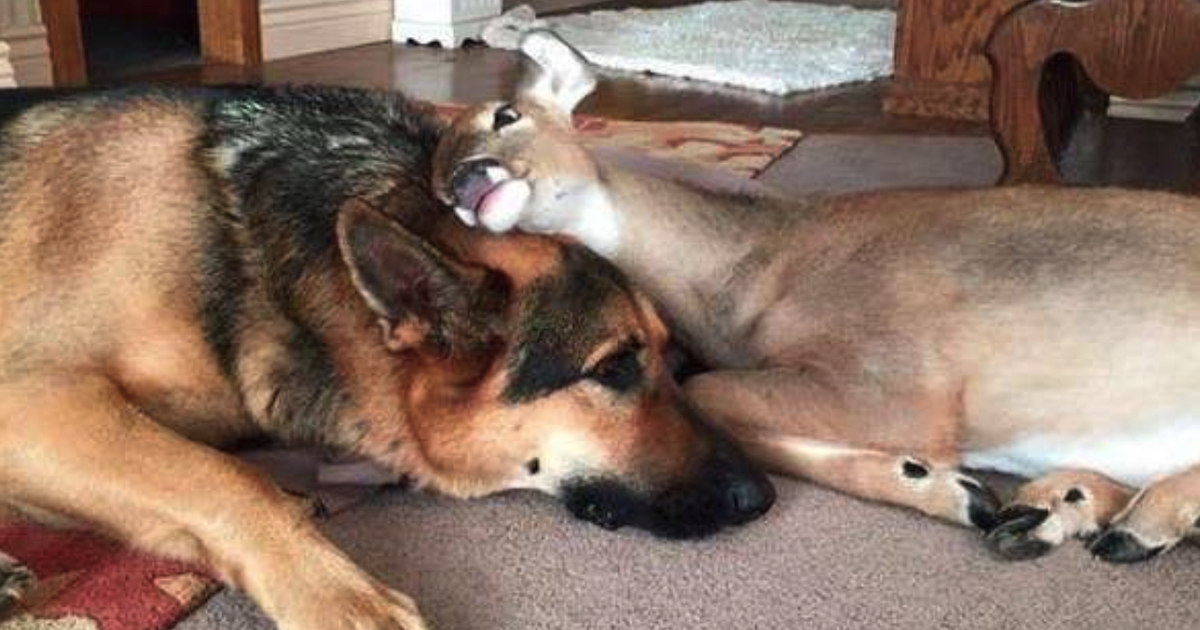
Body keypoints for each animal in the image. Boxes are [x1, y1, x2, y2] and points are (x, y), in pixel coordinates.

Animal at [0, 87, 772, 628]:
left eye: (675, 362)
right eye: (612, 368)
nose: (763, 496)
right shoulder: (33, 402)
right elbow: (230, 481)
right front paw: (341, 597)